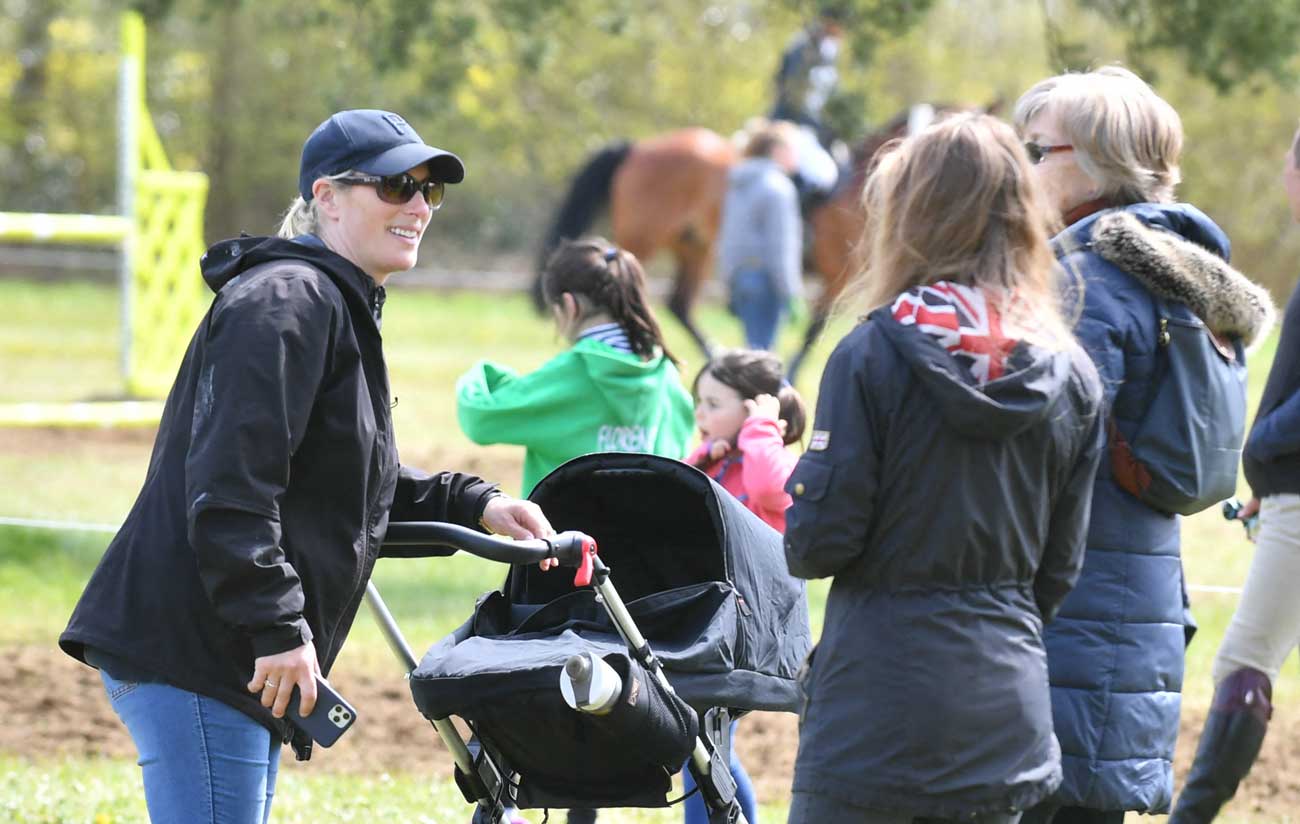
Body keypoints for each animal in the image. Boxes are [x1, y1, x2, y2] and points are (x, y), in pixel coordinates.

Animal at [533, 103, 977, 379]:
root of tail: (639, 147)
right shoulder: (839, 273)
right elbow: (814, 328)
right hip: (645, 240)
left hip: (693, 247)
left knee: (679, 303)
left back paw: (713, 356)